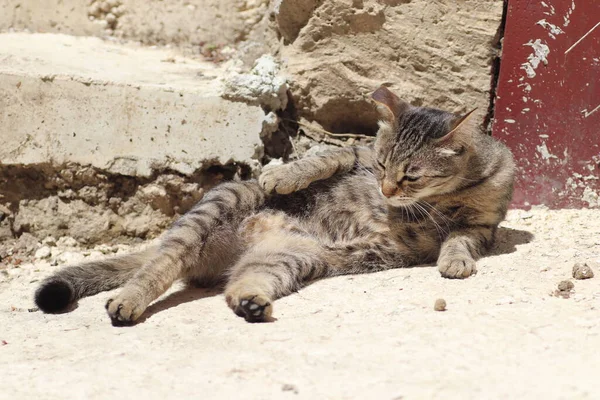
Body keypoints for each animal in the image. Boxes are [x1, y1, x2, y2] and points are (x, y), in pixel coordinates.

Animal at [34, 86, 510, 324]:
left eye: (411, 175)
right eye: (380, 165)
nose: (387, 193)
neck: (445, 195)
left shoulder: (482, 225)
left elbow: (461, 239)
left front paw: (454, 260)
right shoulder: (355, 153)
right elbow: (326, 156)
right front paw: (283, 175)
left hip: (290, 257)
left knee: (236, 285)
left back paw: (251, 303)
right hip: (216, 208)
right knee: (159, 266)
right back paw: (129, 300)